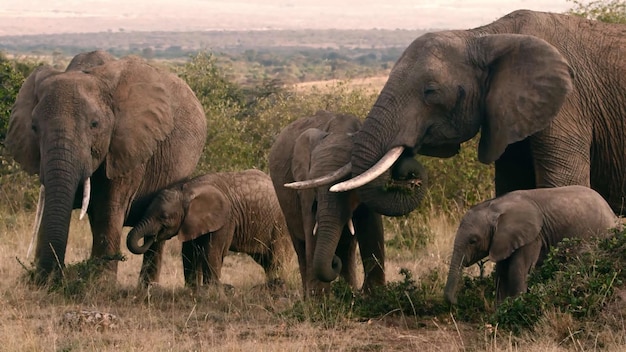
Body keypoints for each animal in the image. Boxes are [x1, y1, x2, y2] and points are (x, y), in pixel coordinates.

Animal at [5, 49, 207, 284]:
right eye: (34, 127)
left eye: (95, 125)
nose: (53, 276)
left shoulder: (128, 147)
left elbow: (107, 209)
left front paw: (100, 284)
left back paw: (147, 287)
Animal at [126, 169, 292, 288]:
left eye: (165, 217)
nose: (153, 236)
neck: (187, 190)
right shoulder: (192, 221)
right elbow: (190, 252)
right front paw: (193, 290)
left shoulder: (226, 219)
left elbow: (212, 250)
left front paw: (211, 290)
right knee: (267, 260)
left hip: (281, 224)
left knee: (277, 257)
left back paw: (279, 285)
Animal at [266, 110, 426, 296]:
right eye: (312, 180)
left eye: (349, 178)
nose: (333, 262)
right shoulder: (304, 189)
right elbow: (312, 228)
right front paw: (319, 301)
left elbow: (371, 226)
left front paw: (375, 295)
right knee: (301, 247)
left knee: (347, 248)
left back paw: (348, 292)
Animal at [326, 10, 624, 217]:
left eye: (431, 91)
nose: (409, 174)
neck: (485, 36)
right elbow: (511, 186)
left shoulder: (569, 105)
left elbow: (563, 185)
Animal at [442, 186, 616, 304]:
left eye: (473, 241)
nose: (456, 301)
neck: (494, 205)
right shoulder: (503, 239)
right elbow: (502, 272)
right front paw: (500, 310)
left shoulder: (532, 236)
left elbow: (516, 269)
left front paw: (515, 305)